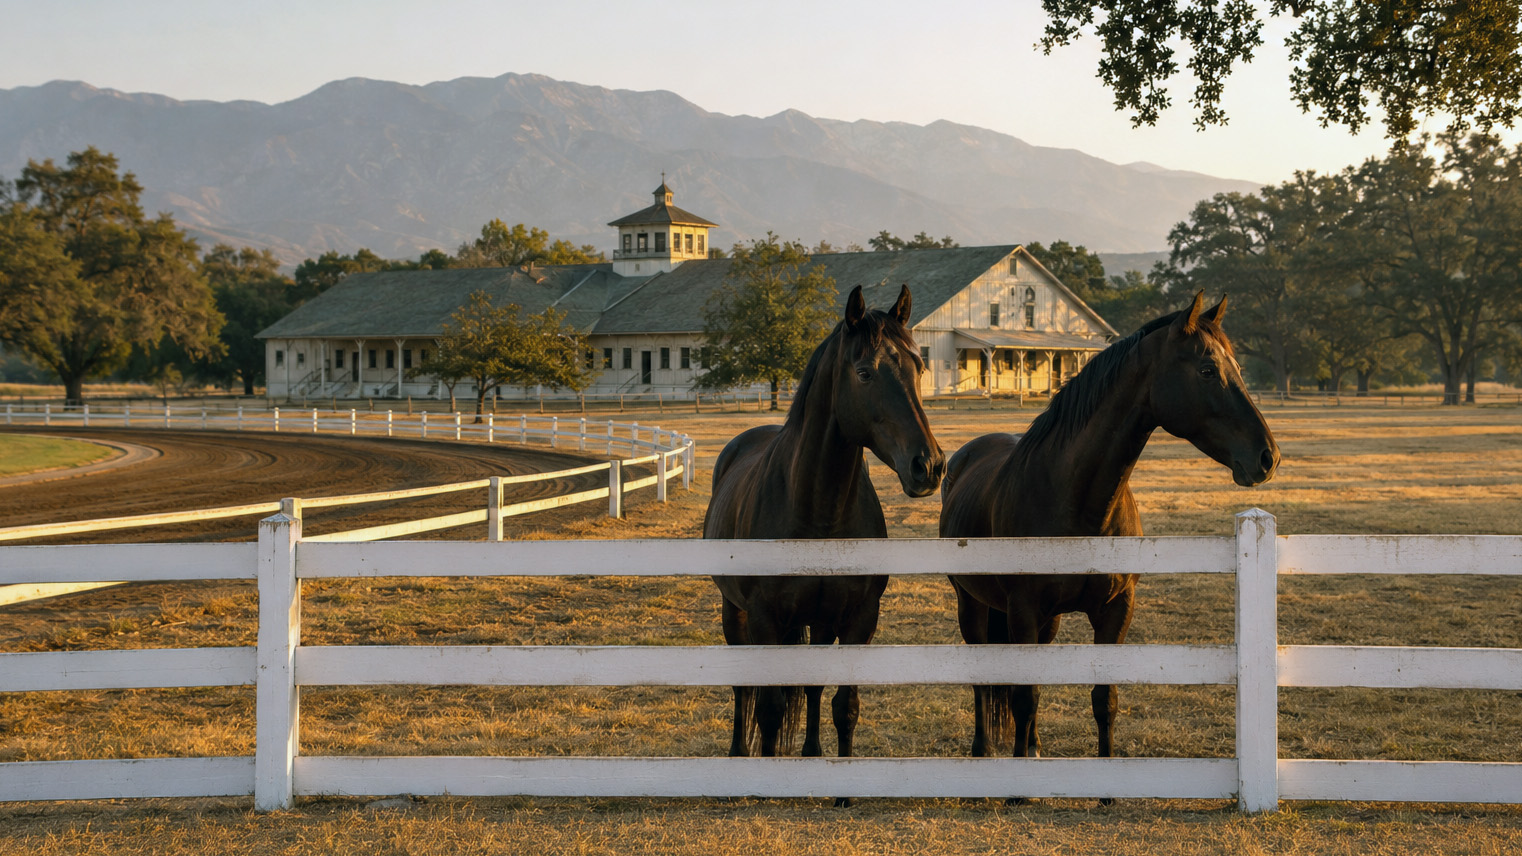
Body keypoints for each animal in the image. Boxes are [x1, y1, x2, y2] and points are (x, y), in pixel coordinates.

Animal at [704, 283, 945, 774]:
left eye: (919, 367)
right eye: (865, 372)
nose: (928, 466)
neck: (820, 517)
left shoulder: (858, 619)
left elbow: (843, 706)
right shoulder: (764, 619)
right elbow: (770, 708)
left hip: (817, 621)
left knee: (812, 689)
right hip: (733, 610)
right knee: (743, 688)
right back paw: (739, 753)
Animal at [939, 291, 1280, 788]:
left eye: (1236, 366)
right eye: (1206, 370)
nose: (1268, 456)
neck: (1076, 503)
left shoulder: (1115, 611)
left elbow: (1104, 698)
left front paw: (1108, 788)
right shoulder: (1021, 610)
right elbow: (1023, 696)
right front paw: (1019, 790)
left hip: (1047, 623)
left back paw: (1034, 749)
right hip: (973, 606)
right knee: (984, 680)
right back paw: (983, 752)